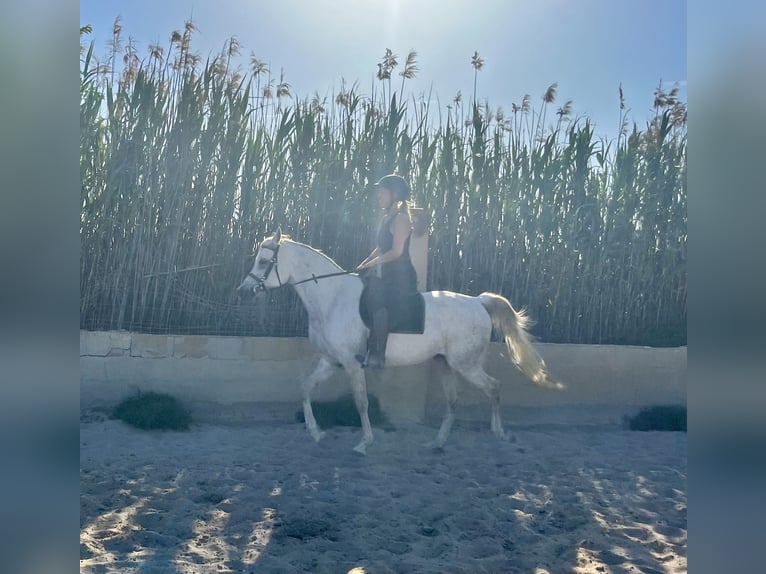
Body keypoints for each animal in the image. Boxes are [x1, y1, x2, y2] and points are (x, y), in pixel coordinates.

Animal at [237, 230, 568, 454]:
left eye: (264, 261)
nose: (244, 290)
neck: (331, 298)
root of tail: (478, 301)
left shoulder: (351, 364)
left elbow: (361, 402)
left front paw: (364, 443)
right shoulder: (330, 361)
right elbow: (305, 387)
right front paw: (316, 433)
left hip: (466, 364)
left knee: (494, 388)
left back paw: (499, 433)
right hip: (445, 364)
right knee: (453, 400)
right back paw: (437, 443)